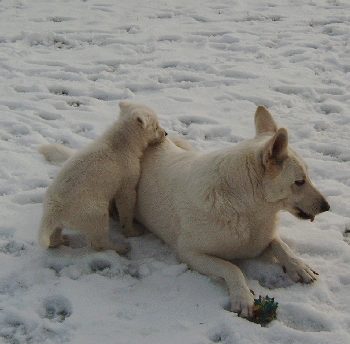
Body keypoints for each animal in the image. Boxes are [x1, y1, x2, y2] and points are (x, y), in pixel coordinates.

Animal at [37, 100, 166, 253]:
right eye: (156, 126)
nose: (166, 133)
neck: (121, 143)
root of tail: (53, 212)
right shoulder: (126, 174)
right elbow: (126, 201)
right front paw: (133, 231)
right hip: (90, 211)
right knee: (99, 234)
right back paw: (120, 247)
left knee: (56, 230)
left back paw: (61, 240)